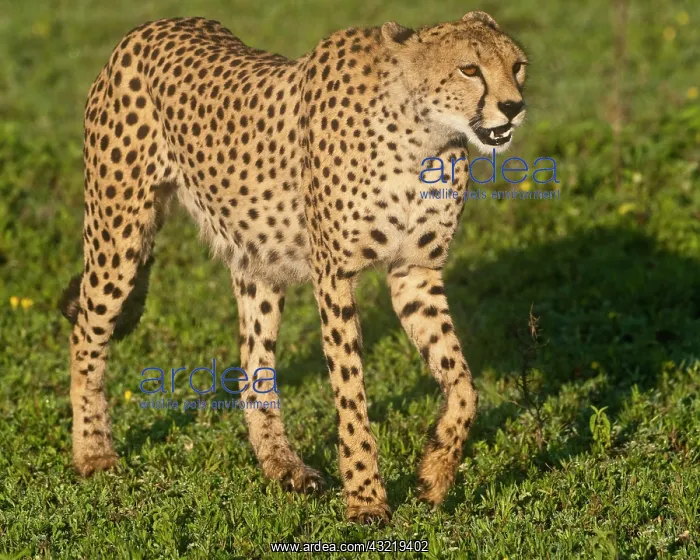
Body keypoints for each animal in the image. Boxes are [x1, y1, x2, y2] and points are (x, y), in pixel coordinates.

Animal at [59, 11, 528, 524]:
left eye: (518, 66)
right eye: (469, 69)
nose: (514, 107)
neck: (424, 136)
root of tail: (155, 25)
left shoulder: (415, 270)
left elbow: (463, 383)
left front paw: (435, 474)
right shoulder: (335, 276)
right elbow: (350, 393)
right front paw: (365, 497)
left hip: (256, 261)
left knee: (254, 364)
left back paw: (283, 464)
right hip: (117, 233)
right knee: (86, 332)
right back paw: (93, 452)